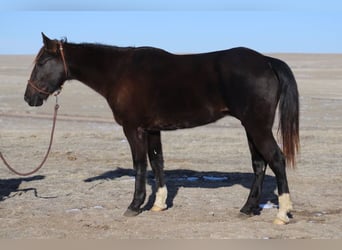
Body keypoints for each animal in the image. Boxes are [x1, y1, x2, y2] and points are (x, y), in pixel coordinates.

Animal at [24, 33, 300, 225]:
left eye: (41, 62)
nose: (29, 97)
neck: (119, 72)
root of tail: (267, 61)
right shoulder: (152, 130)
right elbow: (157, 162)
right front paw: (158, 204)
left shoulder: (133, 129)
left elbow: (139, 165)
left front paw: (135, 205)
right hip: (250, 127)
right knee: (259, 164)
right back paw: (248, 209)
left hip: (257, 126)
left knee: (276, 159)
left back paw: (283, 213)